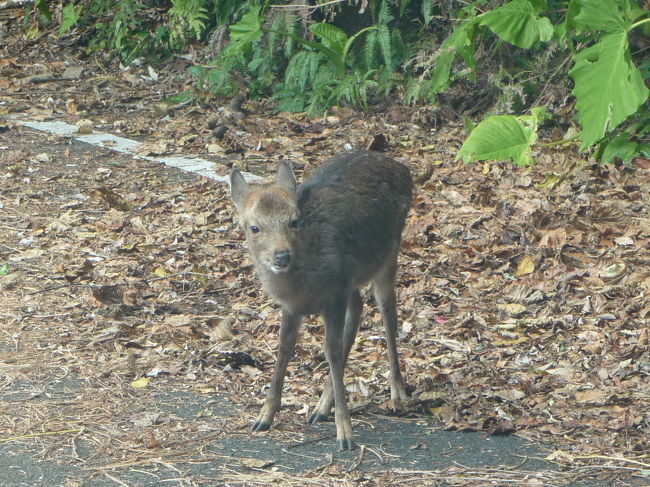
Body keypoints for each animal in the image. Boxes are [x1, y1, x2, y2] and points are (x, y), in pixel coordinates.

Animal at [229, 149, 410, 450]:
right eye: (254, 227)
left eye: (293, 221)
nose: (282, 256)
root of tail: (402, 168)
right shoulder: (294, 306)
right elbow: (284, 348)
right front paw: (264, 417)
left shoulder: (334, 293)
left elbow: (332, 351)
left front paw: (345, 432)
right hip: (352, 278)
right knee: (358, 306)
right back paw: (321, 407)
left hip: (388, 254)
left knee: (388, 314)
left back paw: (398, 392)